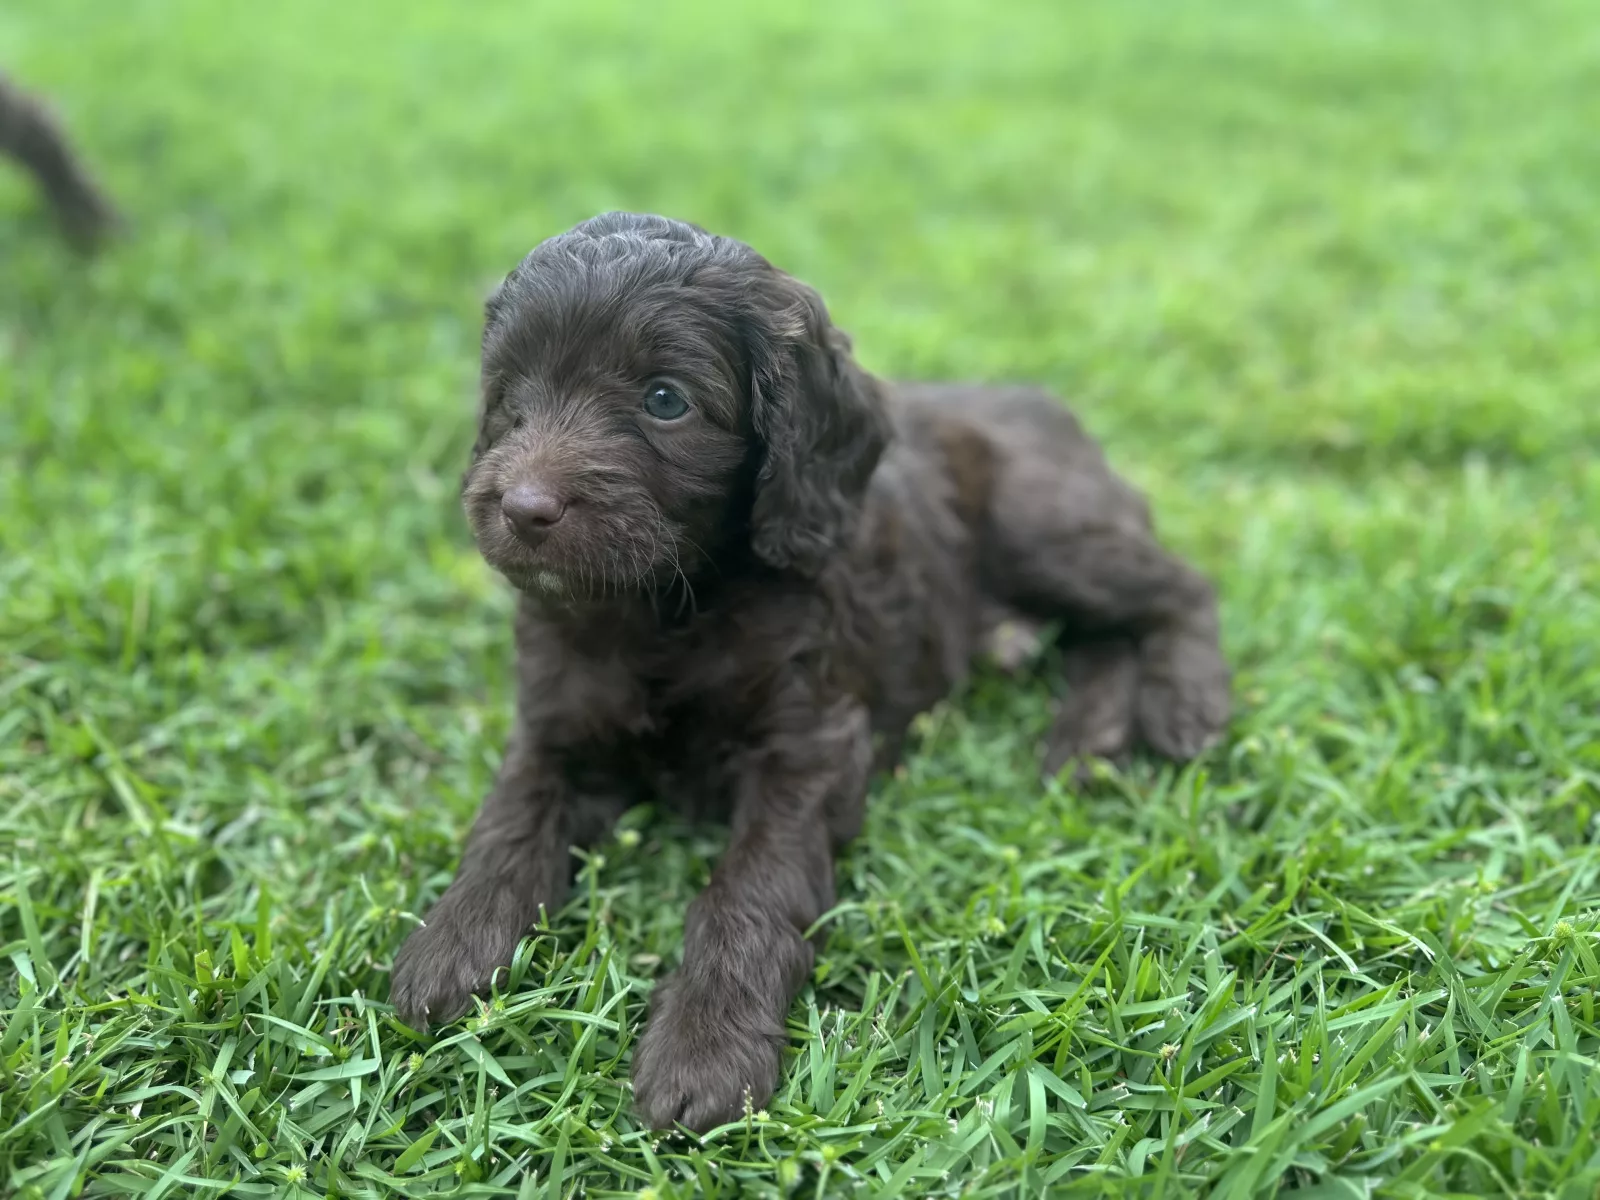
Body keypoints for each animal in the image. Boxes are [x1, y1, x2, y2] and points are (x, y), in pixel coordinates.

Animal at [390, 212, 1230, 1130]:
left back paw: (1187, 705)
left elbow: (750, 889)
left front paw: (706, 1048)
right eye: (512, 393)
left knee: (1177, 589)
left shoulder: (809, 746)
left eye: (664, 400)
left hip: (1041, 523)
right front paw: (451, 947)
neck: (666, 610)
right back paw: (1086, 739)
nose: (523, 509)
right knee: (1101, 635)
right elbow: (507, 825)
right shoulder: (555, 725)